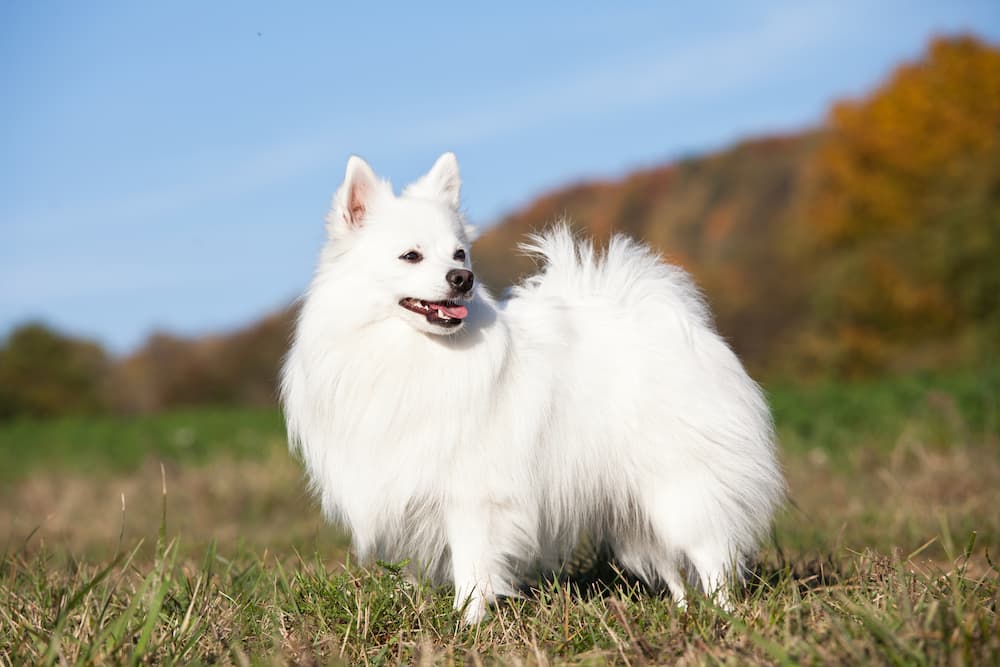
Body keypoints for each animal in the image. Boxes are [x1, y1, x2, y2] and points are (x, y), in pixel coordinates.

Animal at [278, 154, 784, 624]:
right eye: (411, 256)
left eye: (460, 255)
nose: (463, 280)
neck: (413, 354)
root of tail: (677, 322)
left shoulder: (472, 497)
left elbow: (473, 570)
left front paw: (467, 628)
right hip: (635, 511)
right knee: (674, 569)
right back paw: (683, 616)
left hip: (678, 490)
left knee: (712, 557)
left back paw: (725, 619)